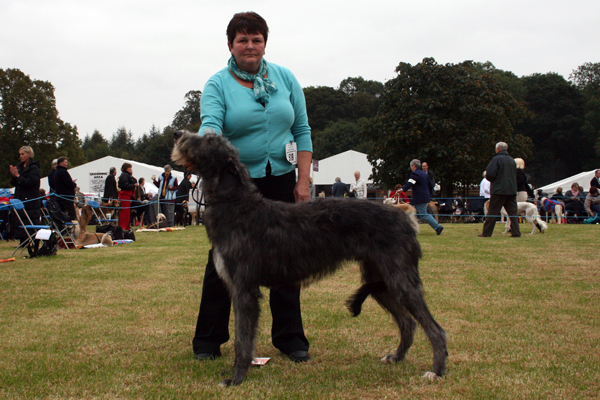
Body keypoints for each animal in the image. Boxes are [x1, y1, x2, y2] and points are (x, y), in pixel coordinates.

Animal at [171, 131, 448, 388]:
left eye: (209, 141)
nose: (177, 134)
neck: (236, 204)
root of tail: (406, 220)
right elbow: (245, 336)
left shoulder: (244, 289)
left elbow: (242, 338)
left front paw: (237, 378)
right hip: (380, 280)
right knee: (408, 323)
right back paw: (397, 357)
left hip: (400, 279)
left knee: (435, 328)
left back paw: (436, 371)